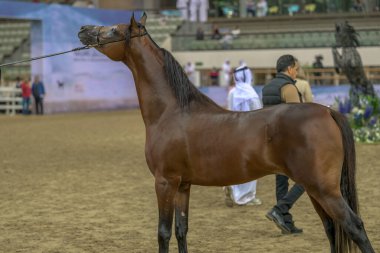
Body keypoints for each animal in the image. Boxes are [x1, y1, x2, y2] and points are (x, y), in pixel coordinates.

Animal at [77, 14, 374, 253]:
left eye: (114, 30)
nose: (83, 29)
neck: (171, 112)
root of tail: (327, 112)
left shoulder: (165, 182)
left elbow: (162, 233)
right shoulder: (183, 185)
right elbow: (181, 231)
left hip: (324, 189)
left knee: (354, 226)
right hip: (315, 189)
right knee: (332, 229)